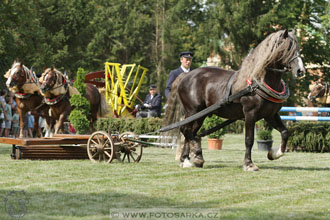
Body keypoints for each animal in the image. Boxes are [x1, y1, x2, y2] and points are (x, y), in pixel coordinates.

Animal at [164, 29, 306, 170]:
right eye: (288, 48)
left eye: (298, 47)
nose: (300, 70)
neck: (258, 82)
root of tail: (186, 75)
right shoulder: (250, 114)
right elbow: (249, 139)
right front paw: (249, 164)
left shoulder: (271, 115)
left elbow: (285, 132)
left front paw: (274, 154)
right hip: (192, 111)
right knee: (186, 131)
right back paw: (195, 155)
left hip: (200, 115)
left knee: (190, 132)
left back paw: (187, 159)